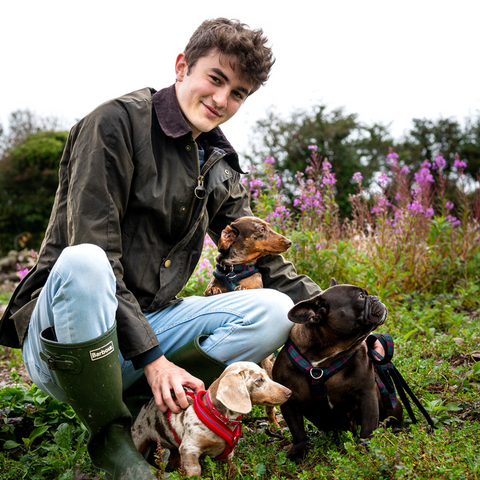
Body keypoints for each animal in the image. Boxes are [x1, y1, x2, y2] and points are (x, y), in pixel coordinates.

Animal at [130, 360, 292, 476]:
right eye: (259, 380)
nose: (289, 392)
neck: (221, 419)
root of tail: (146, 404)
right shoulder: (189, 449)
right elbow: (195, 471)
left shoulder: (228, 453)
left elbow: (231, 465)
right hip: (138, 439)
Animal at [272, 280, 404, 464]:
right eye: (360, 296)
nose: (376, 297)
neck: (323, 359)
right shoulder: (289, 402)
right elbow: (297, 430)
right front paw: (298, 451)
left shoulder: (367, 394)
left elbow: (368, 427)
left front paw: (366, 450)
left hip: (391, 405)